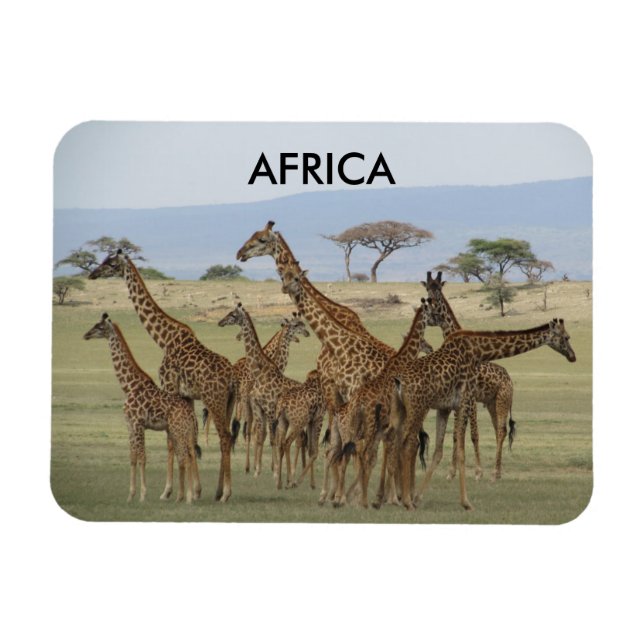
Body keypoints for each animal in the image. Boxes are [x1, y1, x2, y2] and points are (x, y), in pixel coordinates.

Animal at [83, 313, 201, 503]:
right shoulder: (130, 425)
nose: (86, 335)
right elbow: (132, 457)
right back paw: (184, 496)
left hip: (178, 430)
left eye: (100, 327)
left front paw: (143, 495)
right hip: (184, 432)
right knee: (188, 455)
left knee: (186, 457)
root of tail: (191, 413)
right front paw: (130, 495)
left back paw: (188, 498)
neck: (129, 385)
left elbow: (142, 457)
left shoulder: (138, 424)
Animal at [389, 319, 577, 510]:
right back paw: (403, 500)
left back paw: (397, 498)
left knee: (396, 442)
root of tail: (399, 382)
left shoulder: (446, 407)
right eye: (566, 337)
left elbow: (439, 450)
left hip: (404, 409)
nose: (572, 356)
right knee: (408, 443)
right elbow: (462, 449)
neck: (478, 351)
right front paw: (466, 502)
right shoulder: (465, 401)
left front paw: (418, 497)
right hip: (418, 407)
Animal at [422, 271, 516, 481]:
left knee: (501, 430)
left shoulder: (470, 398)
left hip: (502, 400)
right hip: (491, 403)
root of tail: (510, 379)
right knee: (498, 429)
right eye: (427, 288)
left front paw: (478, 472)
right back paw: (497, 471)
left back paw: (495, 473)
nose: (430, 307)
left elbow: (473, 433)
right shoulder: (459, 400)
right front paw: (452, 472)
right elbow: (457, 434)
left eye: (438, 289)